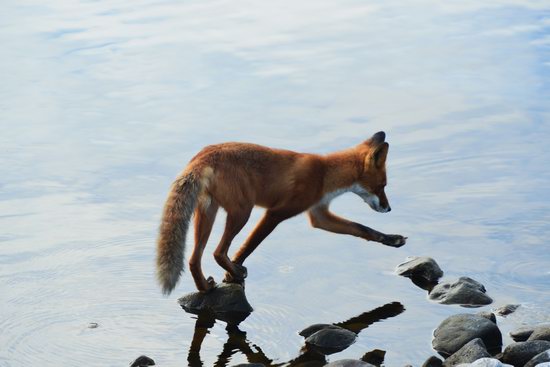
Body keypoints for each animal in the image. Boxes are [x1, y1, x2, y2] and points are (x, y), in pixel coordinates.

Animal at [157, 131, 408, 294]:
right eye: (382, 186)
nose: (388, 208)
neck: (324, 175)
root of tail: (202, 156)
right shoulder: (276, 213)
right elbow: (248, 247)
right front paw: (231, 275)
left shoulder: (319, 215)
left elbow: (361, 229)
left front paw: (391, 239)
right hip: (242, 211)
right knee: (218, 252)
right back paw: (234, 273)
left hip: (208, 213)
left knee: (193, 259)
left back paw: (205, 287)